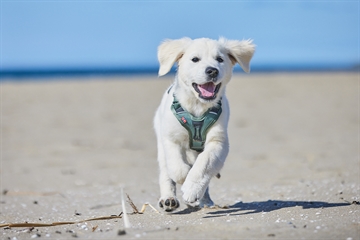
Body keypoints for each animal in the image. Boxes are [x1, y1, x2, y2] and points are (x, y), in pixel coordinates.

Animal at [155, 37, 256, 212]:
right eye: (195, 59)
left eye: (220, 59)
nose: (212, 71)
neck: (197, 106)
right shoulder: (171, 138)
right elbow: (176, 167)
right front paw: (184, 177)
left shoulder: (218, 141)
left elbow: (204, 163)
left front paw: (192, 188)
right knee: (165, 172)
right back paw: (168, 199)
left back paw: (205, 200)